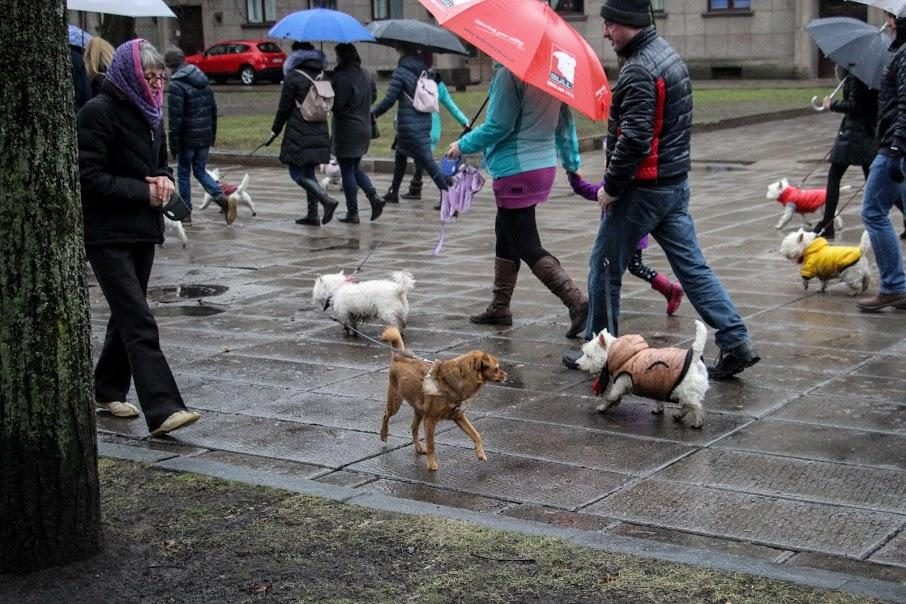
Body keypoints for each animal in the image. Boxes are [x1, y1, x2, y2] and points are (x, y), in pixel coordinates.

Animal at [378, 326, 504, 472]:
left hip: (419, 410)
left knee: (413, 427)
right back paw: (384, 434)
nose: (506, 375)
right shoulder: (430, 421)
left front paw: (480, 454)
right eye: (496, 369)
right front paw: (431, 464)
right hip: (395, 402)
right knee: (386, 415)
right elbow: (431, 445)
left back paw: (419, 448)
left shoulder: (458, 416)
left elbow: (475, 434)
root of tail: (399, 356)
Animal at [576, 318, 708, 428]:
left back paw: (697, 423)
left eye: (588, 355)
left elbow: (611, 397)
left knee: (695, 406)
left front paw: (602, 407)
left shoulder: (620, 383)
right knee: (687, 405)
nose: (577, 364)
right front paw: (658, 409)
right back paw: (678, 415)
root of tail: (695, 357)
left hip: (686, 390)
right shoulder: (657, 385)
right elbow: (658, 399)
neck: (618, 354)